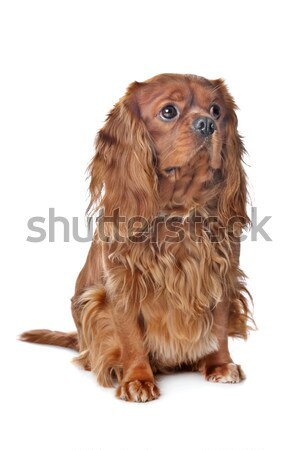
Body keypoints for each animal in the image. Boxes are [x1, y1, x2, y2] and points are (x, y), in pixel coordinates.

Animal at [20, 73, 253, 400]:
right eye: (168, 111)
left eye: (217, 110)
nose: (207, 124)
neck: (178, 210)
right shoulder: (121, 284)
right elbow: (131, 337)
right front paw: (137, 379)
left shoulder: (222, 275)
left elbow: (219, 327)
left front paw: (219, 364)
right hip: (91, 304)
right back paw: (113, 367)